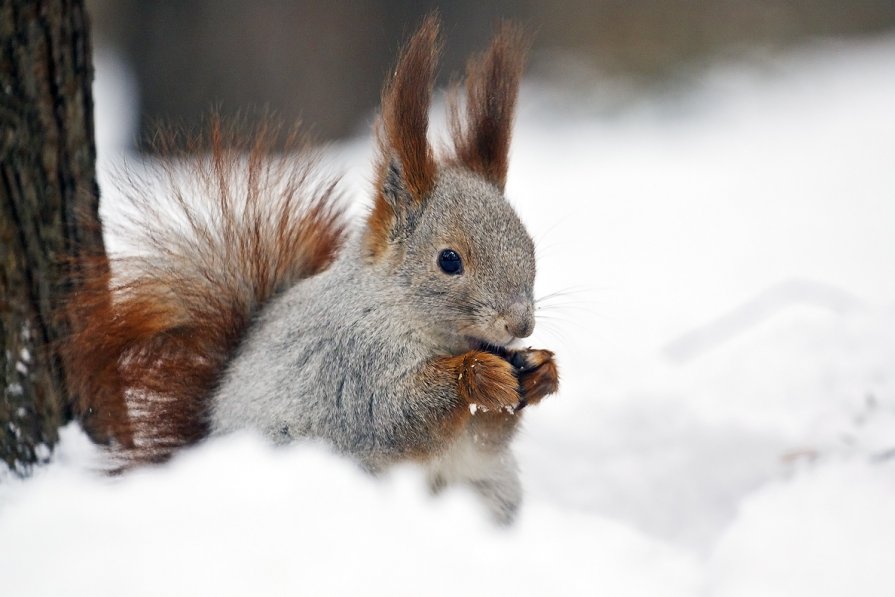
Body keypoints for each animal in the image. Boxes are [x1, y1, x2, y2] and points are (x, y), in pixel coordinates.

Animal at [66, 16, 560, 524]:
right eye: (449, 260)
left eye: (529, 246)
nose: (520, 325)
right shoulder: (348, 365)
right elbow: (395, 414)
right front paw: (480, 375)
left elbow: (486, 437)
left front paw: (541, 370)